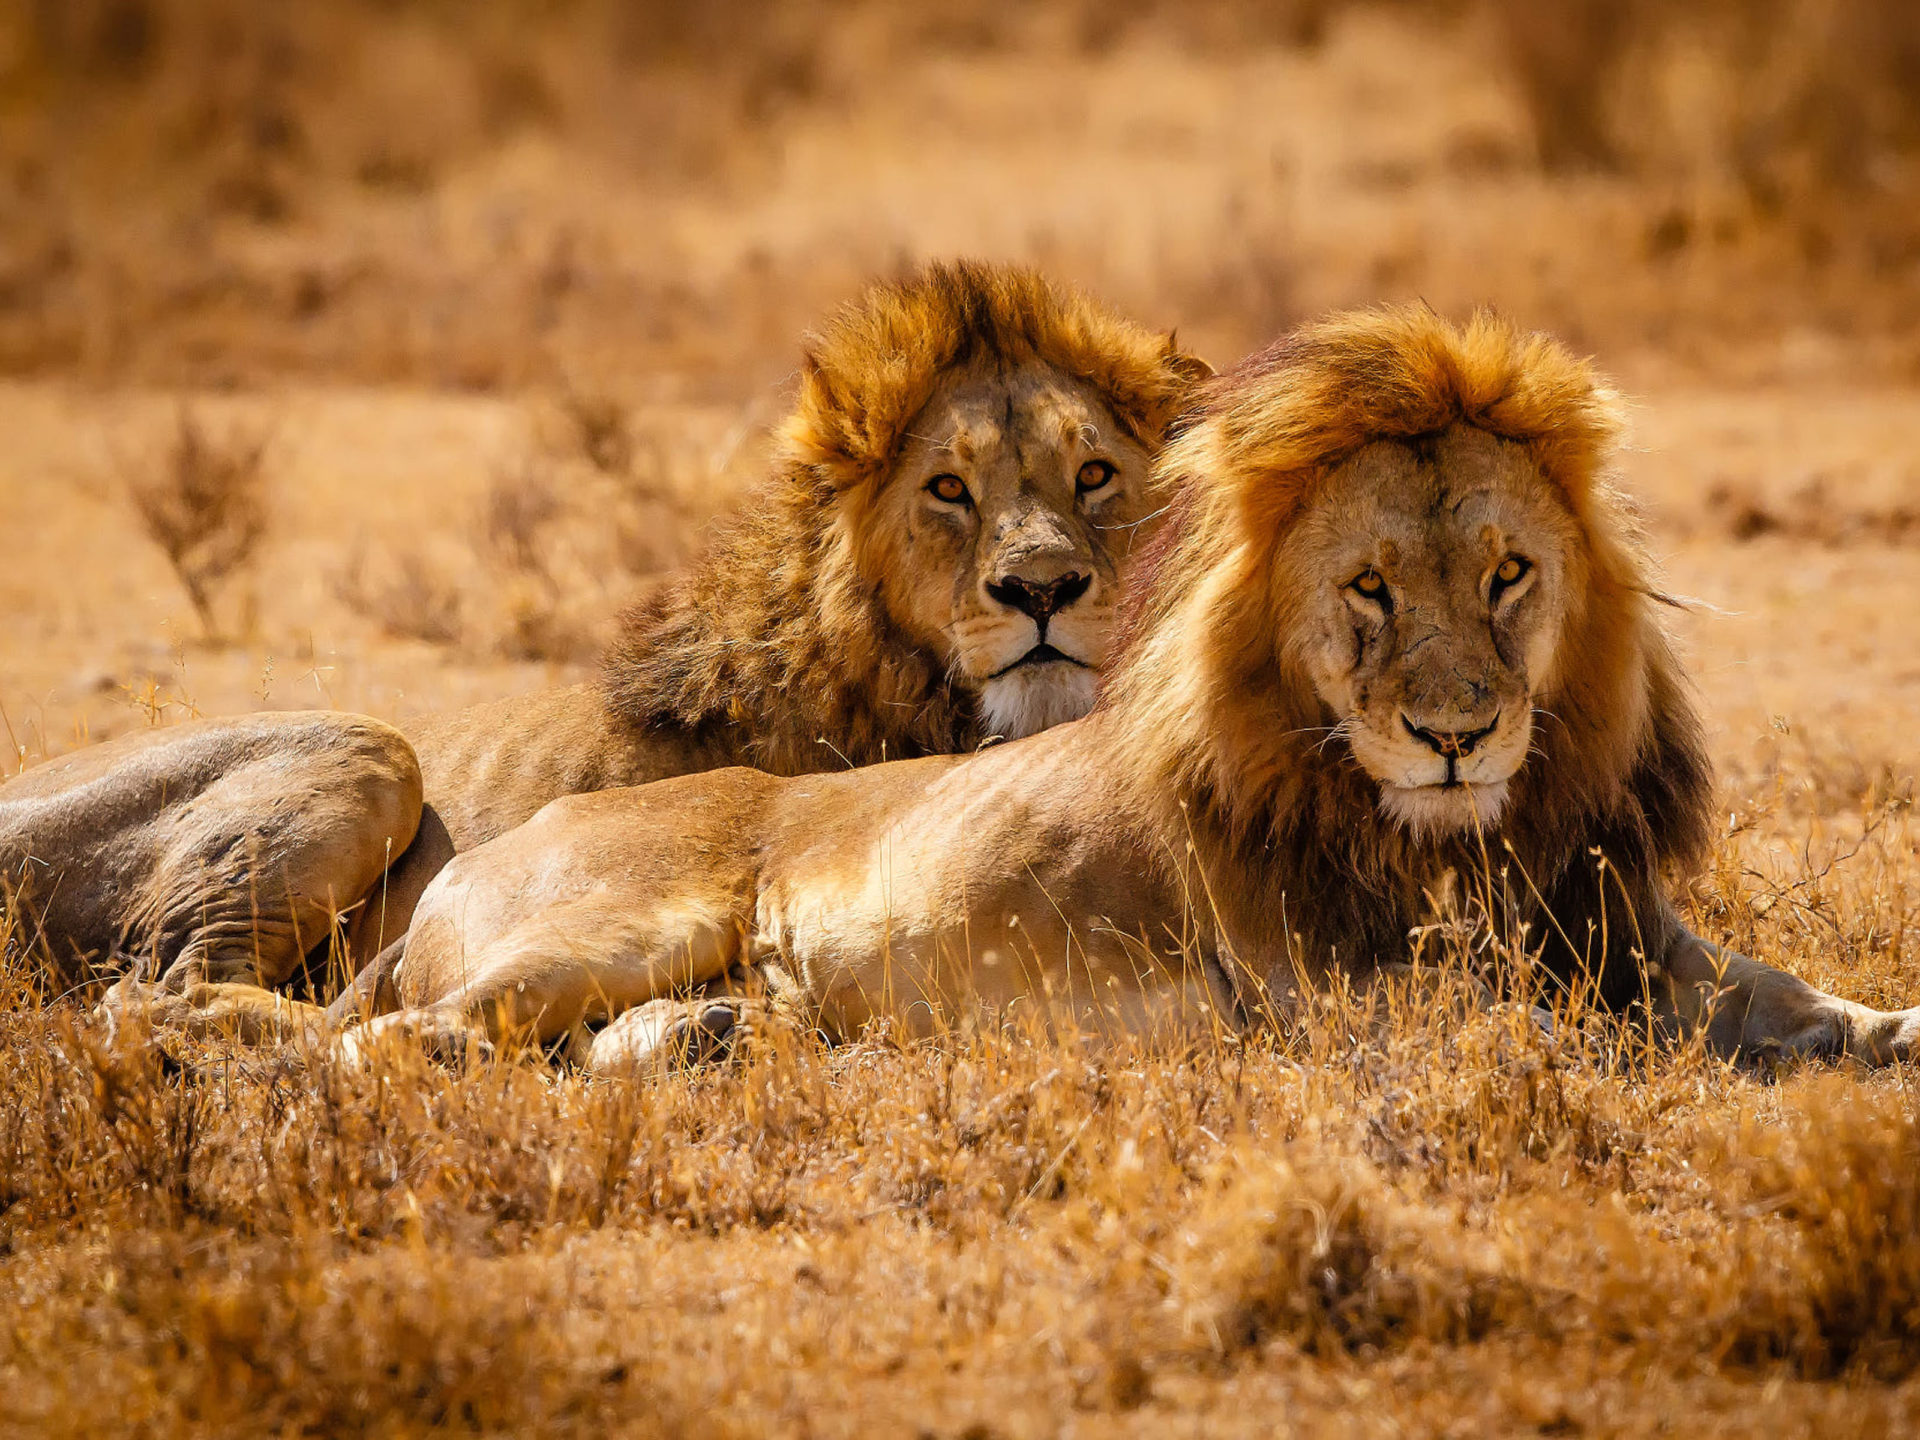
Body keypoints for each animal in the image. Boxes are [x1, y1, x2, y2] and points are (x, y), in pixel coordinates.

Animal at [314, 305, 1920, 1075]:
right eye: (1371, 590)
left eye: (1509, 574)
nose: (1456, 736)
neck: (1467, 839)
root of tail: (497, 841)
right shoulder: (1342, 1002)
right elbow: (1589, 1038)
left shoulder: (1628, 932)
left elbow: (1787, 998)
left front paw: (1884, 1035)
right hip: (608, 928)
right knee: (381, 1044)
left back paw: (728, 1040)